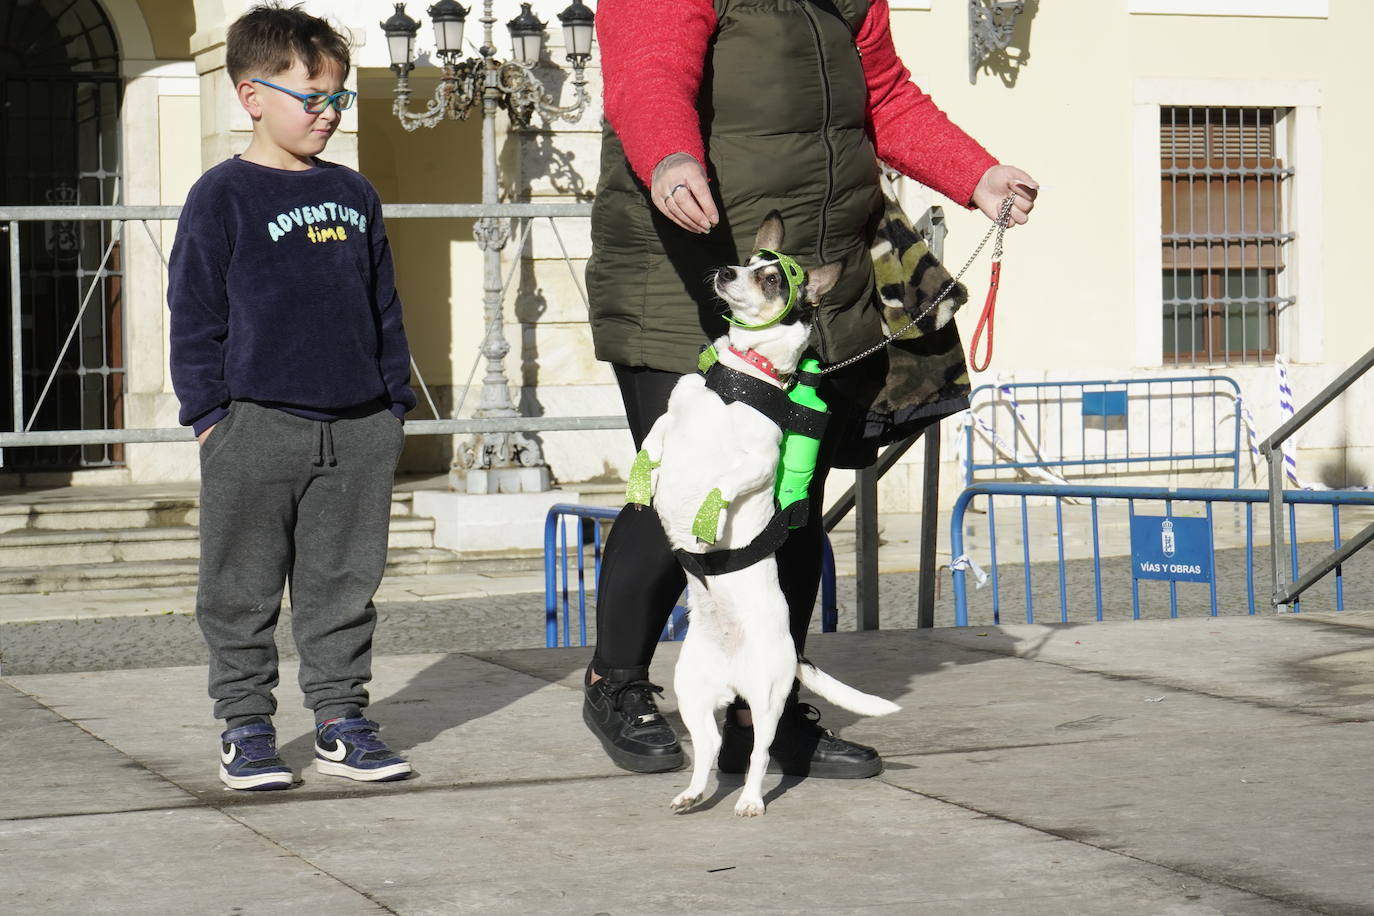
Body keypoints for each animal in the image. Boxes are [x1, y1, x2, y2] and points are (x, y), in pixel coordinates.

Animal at [632, 212, 901, 818]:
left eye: (774, 279)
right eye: (747, 261)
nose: (725, 271)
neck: (742, 374)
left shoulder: (758, 461)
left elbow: (723, 485)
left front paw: (706, 521)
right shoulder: (667, 423)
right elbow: (651, 449)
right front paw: (641, 484)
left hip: (768, 699)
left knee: (756, 754)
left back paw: (751, 801)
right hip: (692, 693)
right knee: (709, 749)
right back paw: (692, 793)